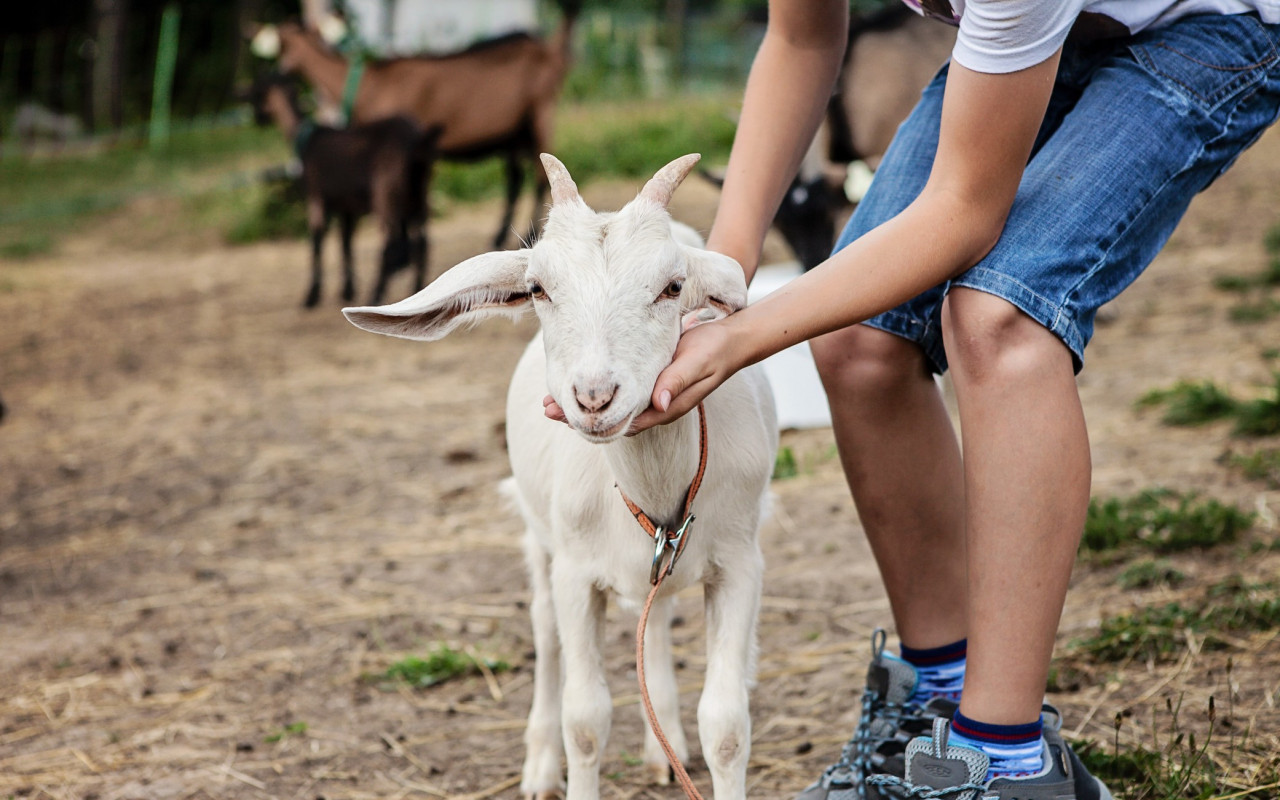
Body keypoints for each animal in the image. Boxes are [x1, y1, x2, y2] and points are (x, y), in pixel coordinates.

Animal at [247, 73, 442, 307]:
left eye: (258, 92)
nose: (257, 119)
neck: (305, 137)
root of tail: (416, 141)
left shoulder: (315, 197)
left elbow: (317, 240)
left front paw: (312, 295)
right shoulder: (346, 206)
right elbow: (345, 242)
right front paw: (347, 290)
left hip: (386, 194)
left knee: (391, 246)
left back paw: (375, 295)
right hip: (418, 195)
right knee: (421, 243)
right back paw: (418, 292)